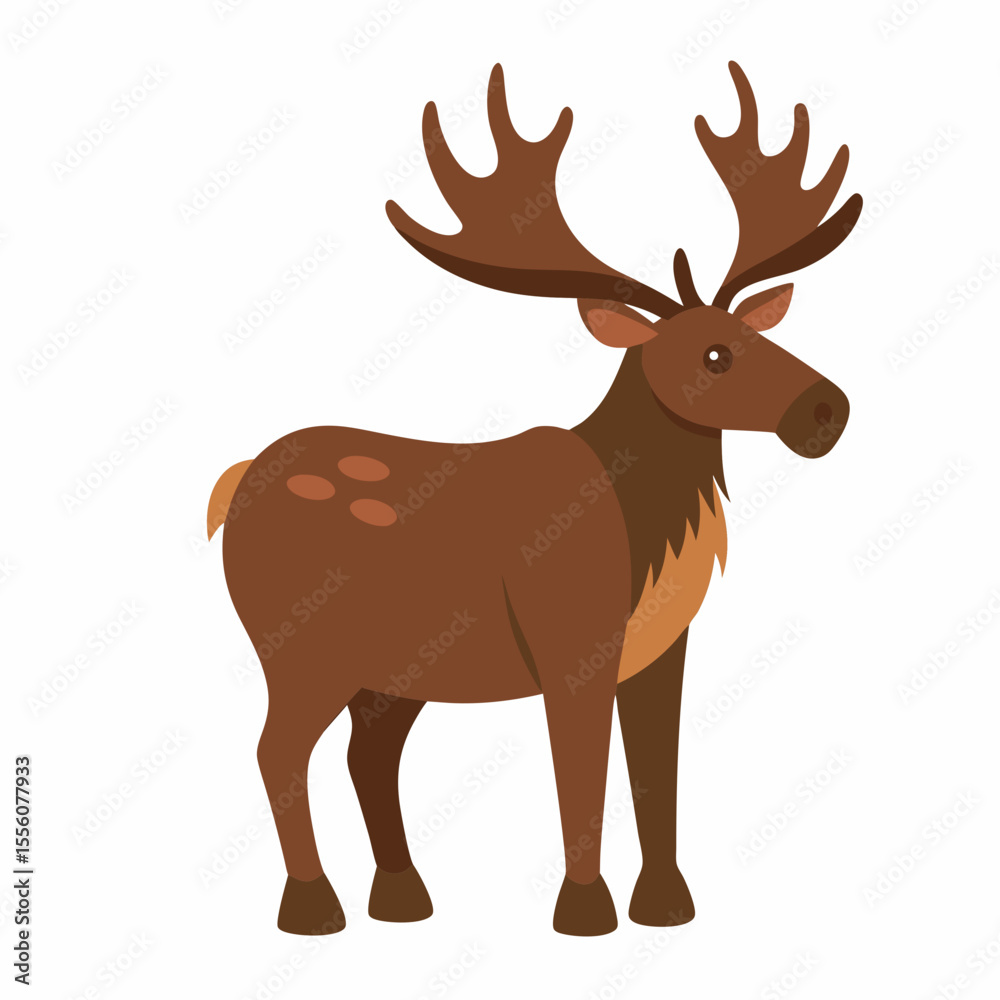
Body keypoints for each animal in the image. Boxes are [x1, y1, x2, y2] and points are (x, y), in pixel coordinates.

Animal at [208, 62, 861, 937]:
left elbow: (658, 773)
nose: (827, 409)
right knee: (276, 749)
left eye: (759, 333)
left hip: (394, 670)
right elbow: (580, 774)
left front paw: (666, 905)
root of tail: (233, 483)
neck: (647, 531)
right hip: (298, 649)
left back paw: (403, 898)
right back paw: (315, 907)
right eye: (715, 355)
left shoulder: (663, 651)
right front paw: (585, 912)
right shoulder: (569, 643)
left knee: (365, 754)